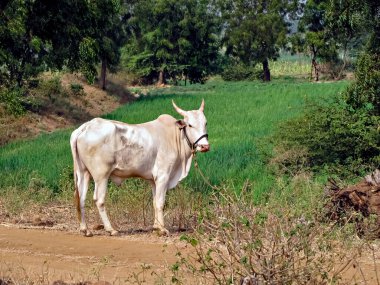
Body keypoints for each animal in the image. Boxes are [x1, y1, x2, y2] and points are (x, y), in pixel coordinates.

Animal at [70, 100, 209, 235]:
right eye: (190, 125)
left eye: (205, 123)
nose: (205, 146)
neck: (174, 136)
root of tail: (85, 127)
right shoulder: (163, 176)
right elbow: (160, 203)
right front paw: (162, 229)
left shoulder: (154, 180)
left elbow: (154, 202)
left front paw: (156, 227)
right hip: (101, 176)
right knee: (99, 200)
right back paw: (110, 229)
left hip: (83, 172)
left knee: (81, 198)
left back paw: (85, 229)